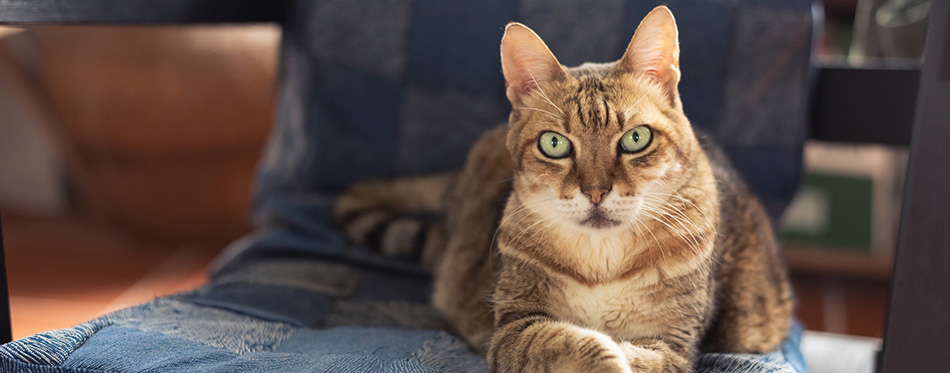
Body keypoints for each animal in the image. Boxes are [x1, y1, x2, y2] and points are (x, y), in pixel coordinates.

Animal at [334, 6, 796, 372]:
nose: (596, 191)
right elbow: (557, 339)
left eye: (636, 138)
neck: (602, 261)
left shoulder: (673, 342)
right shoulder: (513, 328)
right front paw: (603, 356)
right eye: (554, 144)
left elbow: (648, 360)